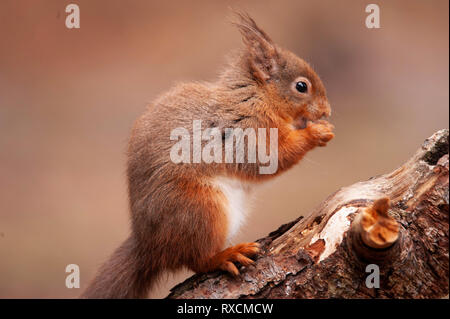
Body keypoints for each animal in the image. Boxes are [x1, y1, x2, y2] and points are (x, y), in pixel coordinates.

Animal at [81, 11, 334, 298]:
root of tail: (148, 247)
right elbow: (270, 158)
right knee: (197, 260)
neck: (257, 98)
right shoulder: (246, 131)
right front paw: (316, 132)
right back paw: (227, 255)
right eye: (301, 86)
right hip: (201, 209)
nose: (327, 111)